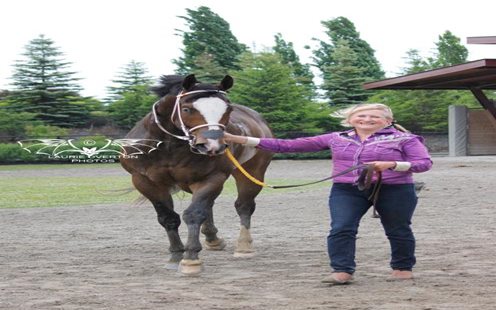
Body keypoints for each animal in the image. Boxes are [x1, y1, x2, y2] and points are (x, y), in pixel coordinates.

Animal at [121, 74, 276, 274]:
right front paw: (176, 255)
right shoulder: (145, 182)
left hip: (251, 172)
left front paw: (191, 258)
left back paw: (243, 246)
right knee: (209, 206)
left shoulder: (212, 178)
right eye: (187, 109)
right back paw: (213, 239)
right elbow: (168, 218)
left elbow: (194, 214)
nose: (213, 145)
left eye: (228, 109)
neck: (169, 147)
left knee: (243, 206)